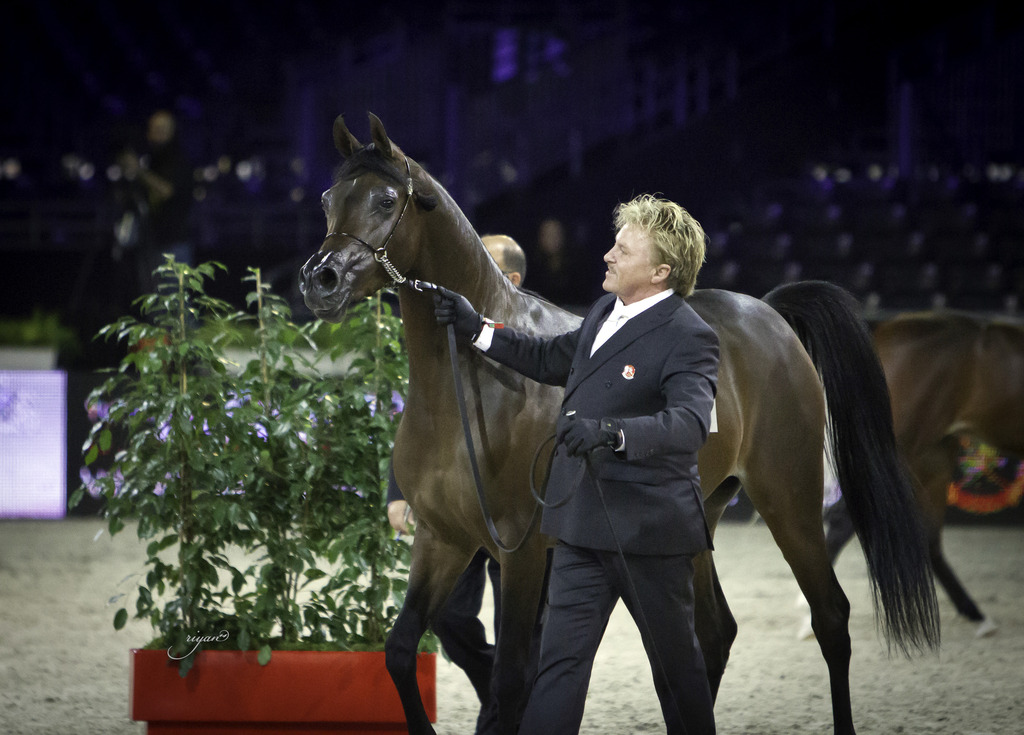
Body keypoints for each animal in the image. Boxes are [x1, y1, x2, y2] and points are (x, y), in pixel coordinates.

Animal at [299, 112, 939, 735]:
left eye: (386, 200)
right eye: (329, 198)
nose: (319, 279)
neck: (467, 389)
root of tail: (771, 316)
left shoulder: (521, 552)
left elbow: (510, 680)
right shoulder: (442, 540)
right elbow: (400, 651)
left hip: (790, 500)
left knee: (830, 617)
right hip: (695, 521)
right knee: (712, 634)